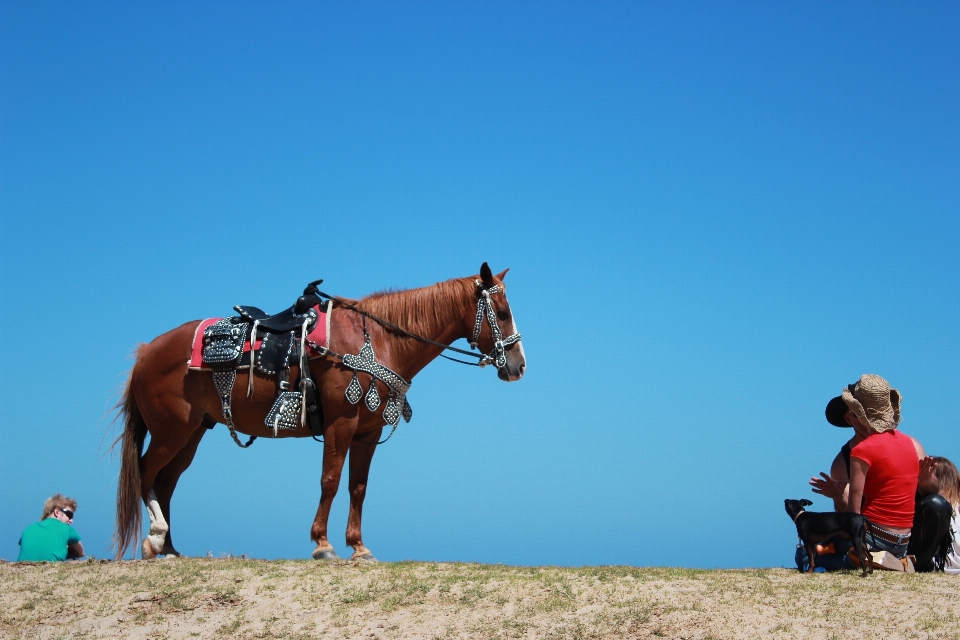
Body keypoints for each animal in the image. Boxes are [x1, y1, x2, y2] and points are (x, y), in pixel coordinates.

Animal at [118, 264, 532, 560]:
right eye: (501, 312)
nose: (519, 365)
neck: (377, 340)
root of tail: (146, 353)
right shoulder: (341, 423)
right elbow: (330, 480)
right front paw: (322, 544)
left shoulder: (366, 432)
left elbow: (358, 487)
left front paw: (359, 547)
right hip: (171, 431)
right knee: (146, 473)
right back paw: (154, 540)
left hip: (190, 434)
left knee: (167, 481)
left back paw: (170, 549)